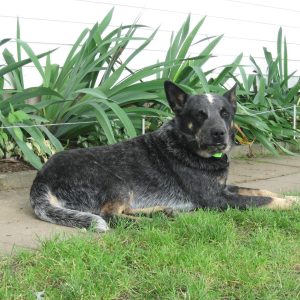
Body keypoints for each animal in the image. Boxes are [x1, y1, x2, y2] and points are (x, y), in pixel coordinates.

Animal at [30, 81, 296, 231]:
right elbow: (262, 200)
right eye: (199, 115)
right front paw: (293, 203)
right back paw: (153, 222)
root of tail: (41, 178)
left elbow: (261, 191)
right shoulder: (217, 200)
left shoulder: (224, 188)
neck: (185, 145)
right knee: (111, 216)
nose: (220, 134)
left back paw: (162, 211)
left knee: (124, 211)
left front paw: (290, 196)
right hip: (116, 182)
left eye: (225, 113)